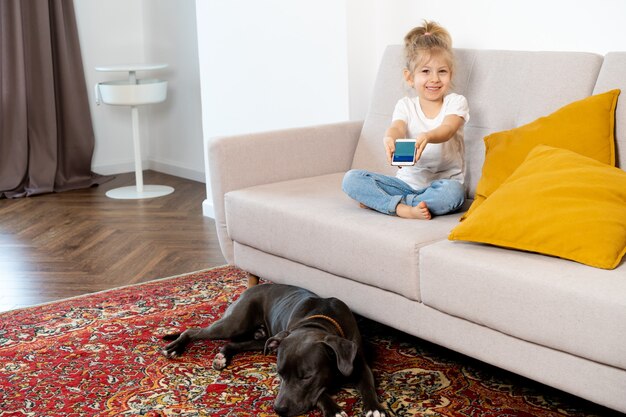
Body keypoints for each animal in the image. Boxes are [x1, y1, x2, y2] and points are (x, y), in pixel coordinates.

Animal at [160, 282, 386, 414]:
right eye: (279, 374)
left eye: (306, 376)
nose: (278, 409)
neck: (320, 322)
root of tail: (249, 289)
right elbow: (319, 394)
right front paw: (334, 409)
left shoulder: (358, 363)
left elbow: (368, 384)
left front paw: (374, 408)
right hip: (235, 325)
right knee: (193, 330)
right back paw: (174, 348)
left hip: (264, 340)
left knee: (232, 343)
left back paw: (222, 356)